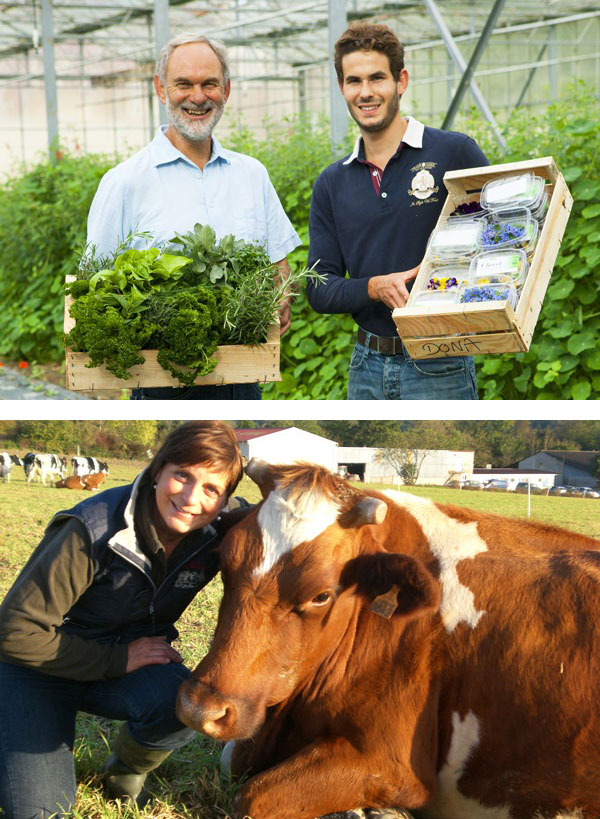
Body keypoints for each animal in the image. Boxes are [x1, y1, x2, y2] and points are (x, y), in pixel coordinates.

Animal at [176, 462, 600, 819]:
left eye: (321, 595)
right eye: (224, 562)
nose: (200, 708)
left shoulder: (392, 765)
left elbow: (250, 797)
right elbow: (231, 760)